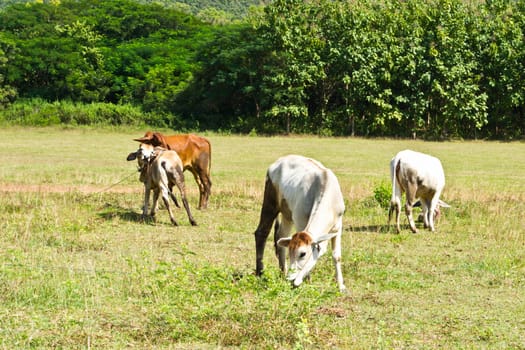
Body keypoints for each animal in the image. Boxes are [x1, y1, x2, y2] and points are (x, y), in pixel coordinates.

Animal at [255, 154, 348, 292]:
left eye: (302, 253)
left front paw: (341, 286)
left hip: (287, 215)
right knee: (262, 232)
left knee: (280, 236)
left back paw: (282, 272)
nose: (291, 278)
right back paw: (260, 272)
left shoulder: (338, 227)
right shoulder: (300, 221)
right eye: (291, 252)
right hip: (270, 202)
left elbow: (337, 256)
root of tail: (278, 162)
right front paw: (308, 281)